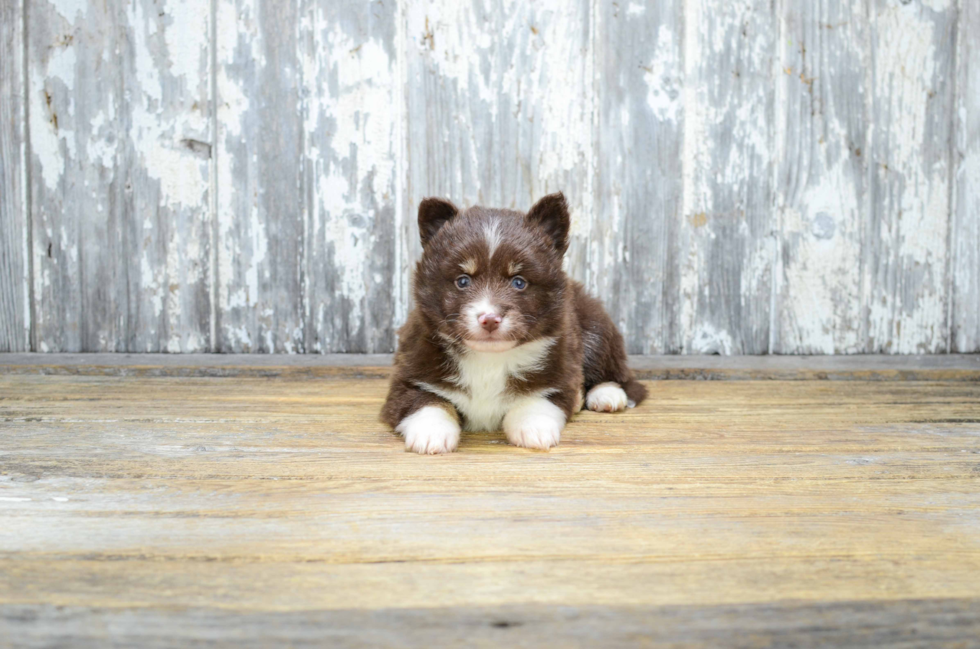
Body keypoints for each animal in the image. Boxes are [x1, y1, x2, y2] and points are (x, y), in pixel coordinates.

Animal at [378, 192, 648, 454]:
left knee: (619, 375)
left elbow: (537, 399)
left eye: (519, 282)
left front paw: (534, 428)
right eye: (462, 281)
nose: (490, 319)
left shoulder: (561, 375)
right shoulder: (407, 378)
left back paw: (608, 395)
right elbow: (427, 401)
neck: (488, 359)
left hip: (596, 327)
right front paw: (431, 433)